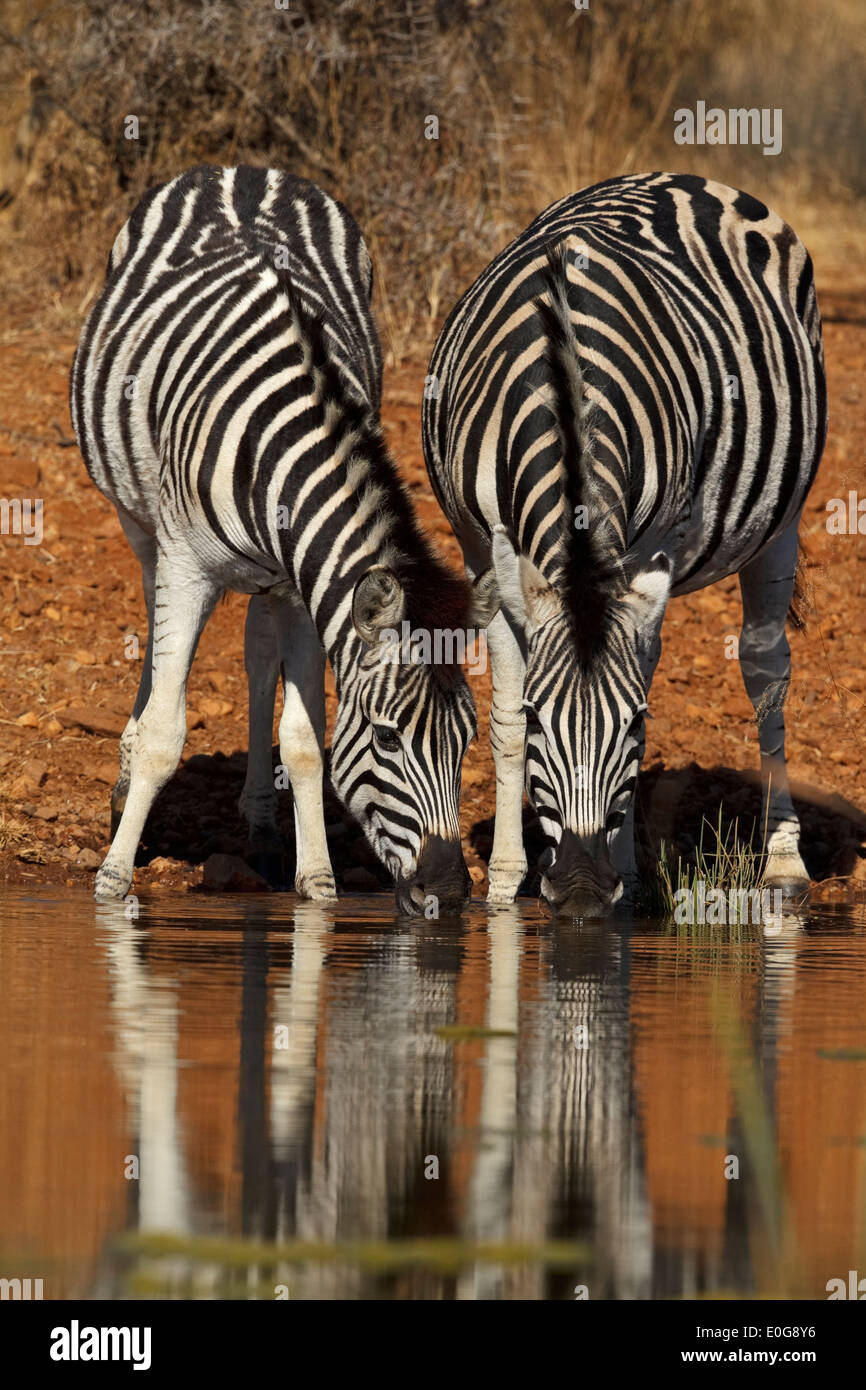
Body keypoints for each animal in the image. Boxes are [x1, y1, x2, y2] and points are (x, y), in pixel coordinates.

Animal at [71, 162, 497, 911]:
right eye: (388, 740)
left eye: (468, 738)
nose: (448, 893)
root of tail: (243, 168)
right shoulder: (186, 566)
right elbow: (164, 733)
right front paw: (115, 877)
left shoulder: (306, 584)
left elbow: (303, 740)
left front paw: (318, 879)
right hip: (141, 522)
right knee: (153, 633)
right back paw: (125, 784)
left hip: (270, 578)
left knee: (257, 652)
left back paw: (264, 829)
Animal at [422, 170, 828, 911]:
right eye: (540, 719)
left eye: (636, 725)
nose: (583, 890)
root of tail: (679, 176)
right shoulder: (480, 548)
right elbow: (501, 716)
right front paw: (504, 880)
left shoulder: (644, 548)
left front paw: (622, 873)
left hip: (779, 524)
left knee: (767, 676)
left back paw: (782, 863)